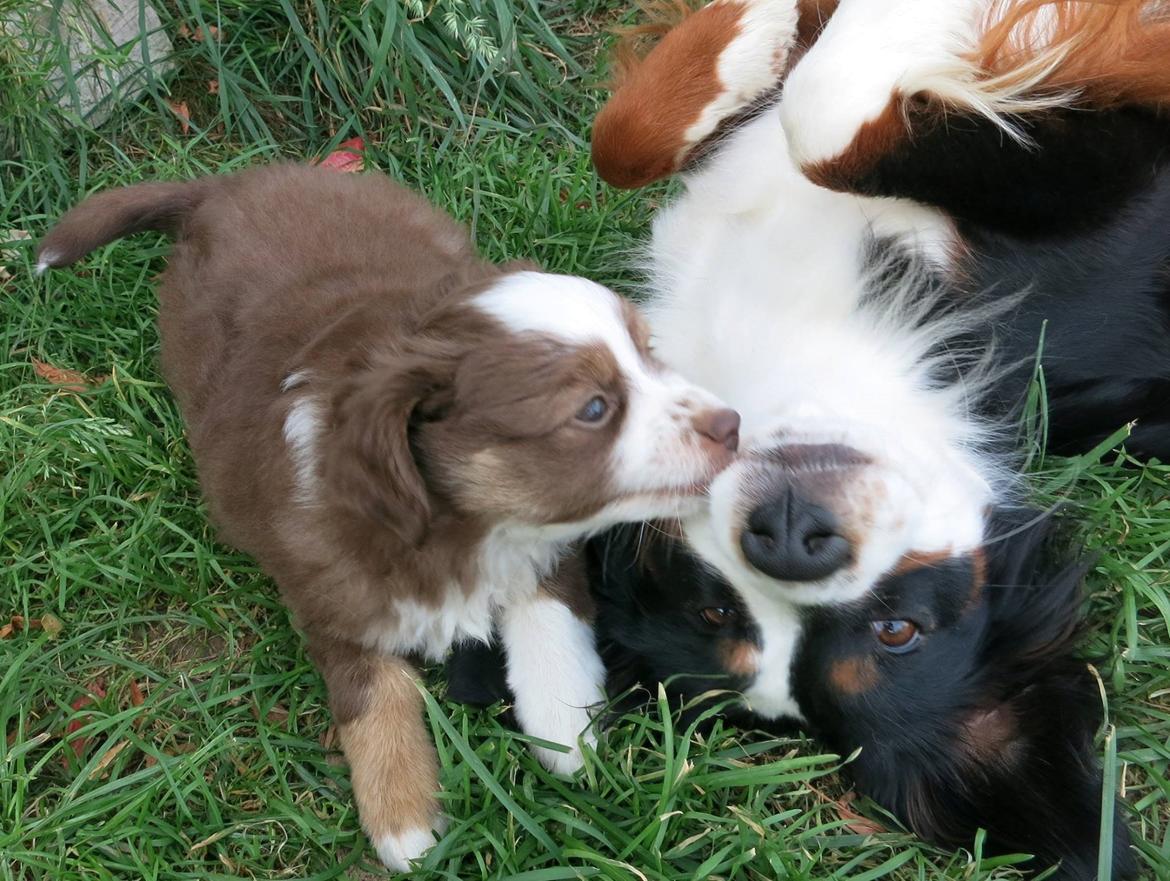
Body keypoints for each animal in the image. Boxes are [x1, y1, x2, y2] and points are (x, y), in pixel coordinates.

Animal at [38, 166, 739, 875]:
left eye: (650, 354)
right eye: (594, 408)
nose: (732, 424)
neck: (458, 528)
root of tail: (223, 185)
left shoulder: (551, 537)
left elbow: (553, 617)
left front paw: (566, 728)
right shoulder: (332, 597)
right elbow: (373, 698)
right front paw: (405, 823)